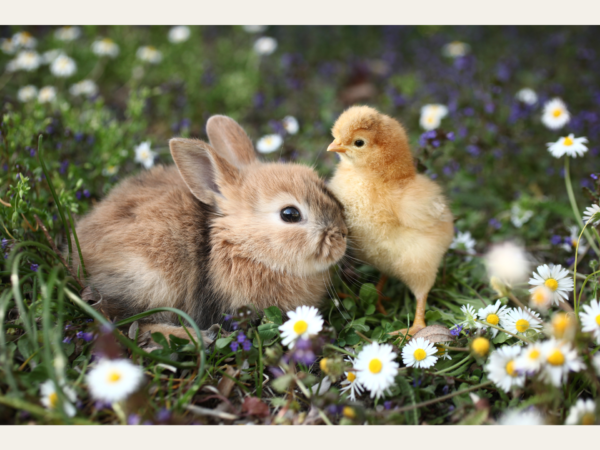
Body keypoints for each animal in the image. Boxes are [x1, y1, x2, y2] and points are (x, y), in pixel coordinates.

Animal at [71, 114, 350, 342]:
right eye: (290, 214)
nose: (342, 237)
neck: (240, 244)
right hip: (152, 281)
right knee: (129, 323)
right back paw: (201, 337)